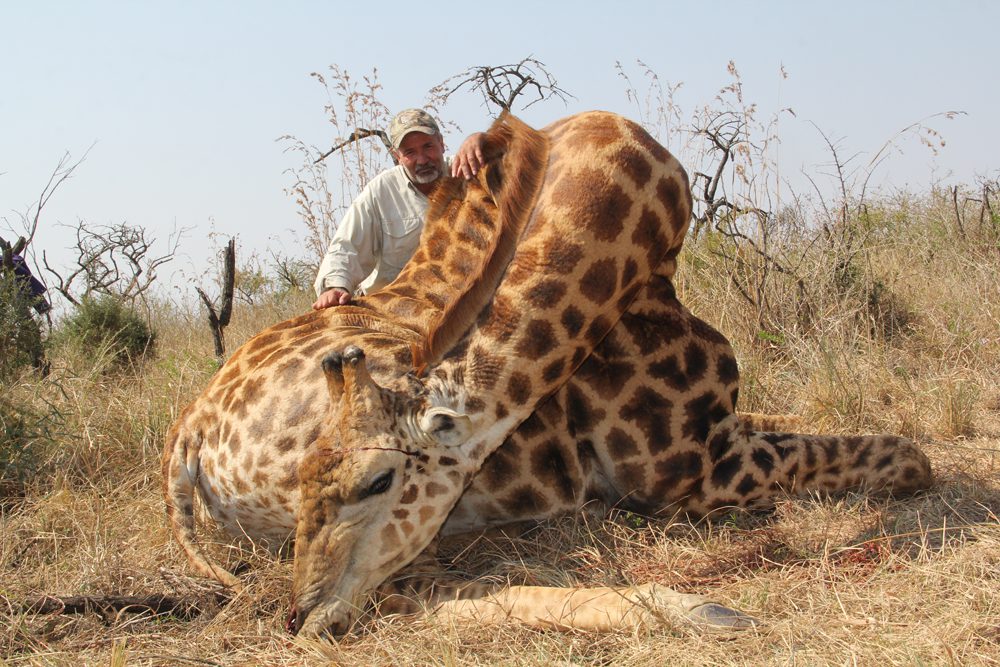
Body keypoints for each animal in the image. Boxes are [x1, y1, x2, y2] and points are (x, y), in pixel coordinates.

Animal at [283, 112, 932, 637]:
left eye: (376, 482)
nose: (299, 615)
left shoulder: (722, 436)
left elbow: (879, 443)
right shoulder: (702, 471)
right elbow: (907, 457)